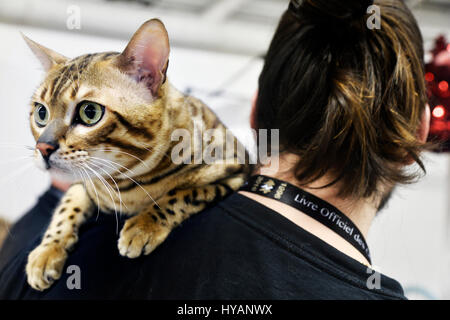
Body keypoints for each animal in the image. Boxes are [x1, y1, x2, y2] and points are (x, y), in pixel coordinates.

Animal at [23, 18, 250, 292]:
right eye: (41, 113)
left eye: (90, 112)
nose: (43, 147)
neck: (123, 183)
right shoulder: (83, 184)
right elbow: (66, 208)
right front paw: (46, 252)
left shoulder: (234, 171)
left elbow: (182, 194)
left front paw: (143, 226)